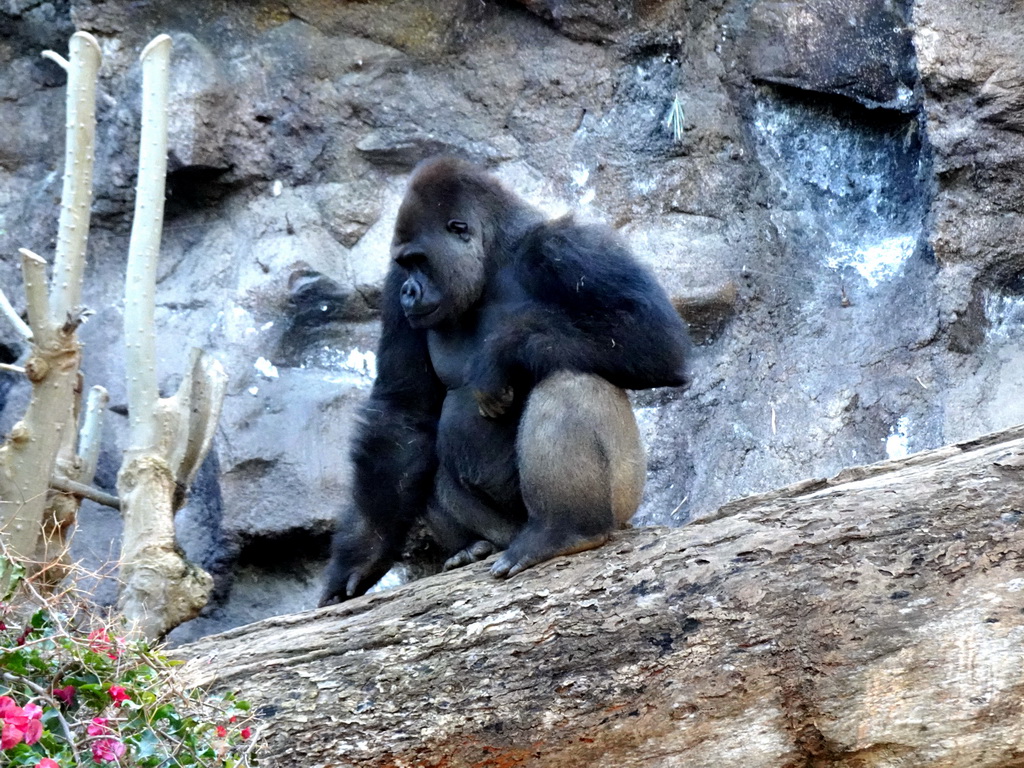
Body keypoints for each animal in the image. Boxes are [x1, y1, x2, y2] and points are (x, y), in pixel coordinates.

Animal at [319, 157, 688, 606]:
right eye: (403, 266)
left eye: (419, 260)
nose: (409, 292)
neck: (493, 257)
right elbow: (403, 415)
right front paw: (364, 551)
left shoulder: (570, 248)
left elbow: (654, 336)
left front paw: (502, 353)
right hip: (504, 530)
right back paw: (474, 548)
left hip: (625, 503)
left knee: (569, 378)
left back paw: (566, 530)